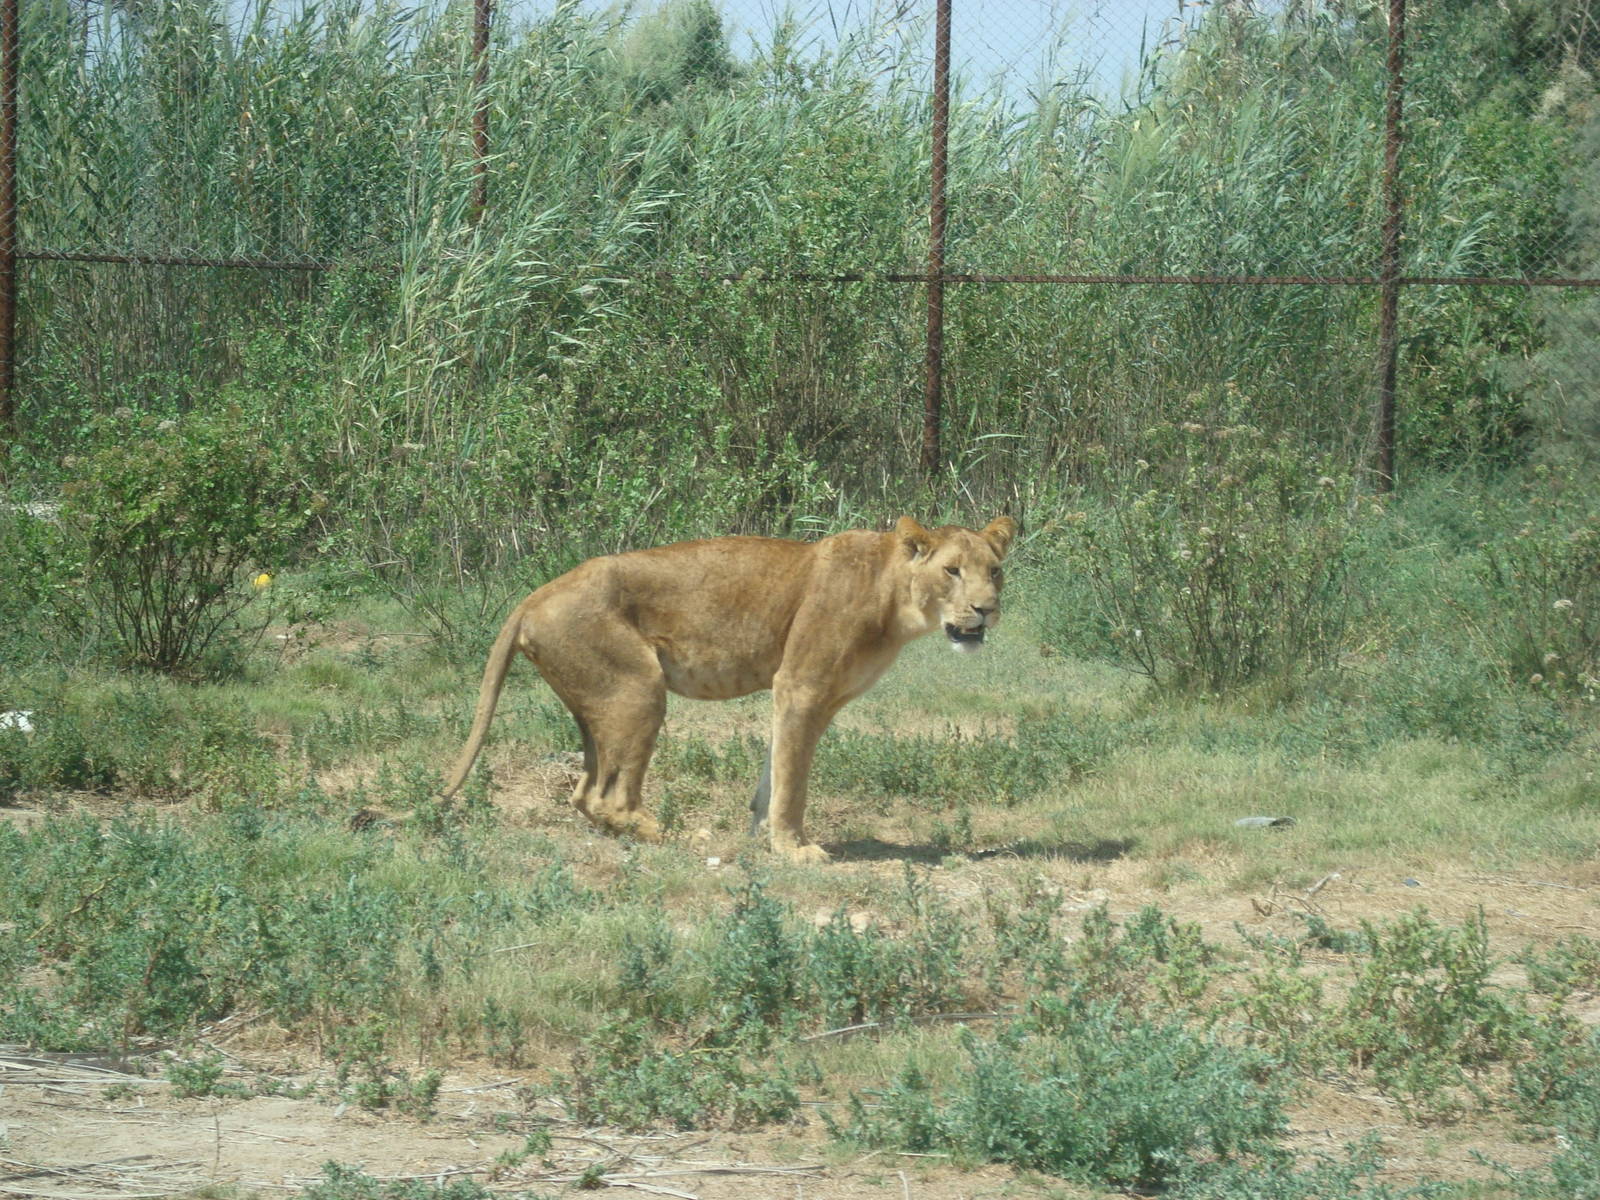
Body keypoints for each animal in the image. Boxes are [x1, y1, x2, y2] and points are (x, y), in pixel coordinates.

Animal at [441, 515, 1017, 863]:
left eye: (994, 571)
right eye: (952, 570)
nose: (987, 609)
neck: (893, 595)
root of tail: (534, 595)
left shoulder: (805, 697)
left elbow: (774, 774)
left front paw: (762, 837)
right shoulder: (802, 687)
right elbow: (793, 781)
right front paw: (796, 849)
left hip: (596, 701)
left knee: (585, 793)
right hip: (637, 688)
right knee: (609, 796)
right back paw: (675, 837)